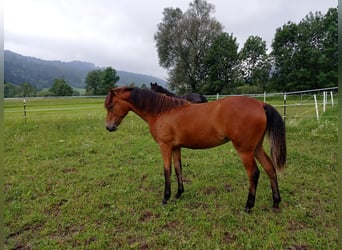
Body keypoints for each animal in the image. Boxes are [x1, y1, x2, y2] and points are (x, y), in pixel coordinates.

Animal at [104, 87, 286, 212]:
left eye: (111, 105)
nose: (109, 127)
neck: (162, 111)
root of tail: (261, 104)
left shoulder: (165, 146)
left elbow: (167, 171)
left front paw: (165, 198)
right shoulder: (176, 148)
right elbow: (178, 168)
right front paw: (179, 194)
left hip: (245, 151)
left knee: (254, 173)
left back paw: (248, 206)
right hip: (256, 147)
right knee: (270, 168)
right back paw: (276, 201)